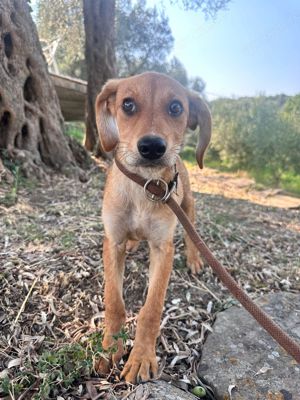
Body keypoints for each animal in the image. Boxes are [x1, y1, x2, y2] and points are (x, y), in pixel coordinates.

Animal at [95, 72, 211, 384]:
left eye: (176, 107)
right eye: (127, 104)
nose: (152, 147)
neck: (144, 185)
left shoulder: (163, 247)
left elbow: (151, 308)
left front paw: (141, 357)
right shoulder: (113, 240)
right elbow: (114, 301)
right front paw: (109, 348)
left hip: (188, 207)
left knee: (191, 234)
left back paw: (194, 259)